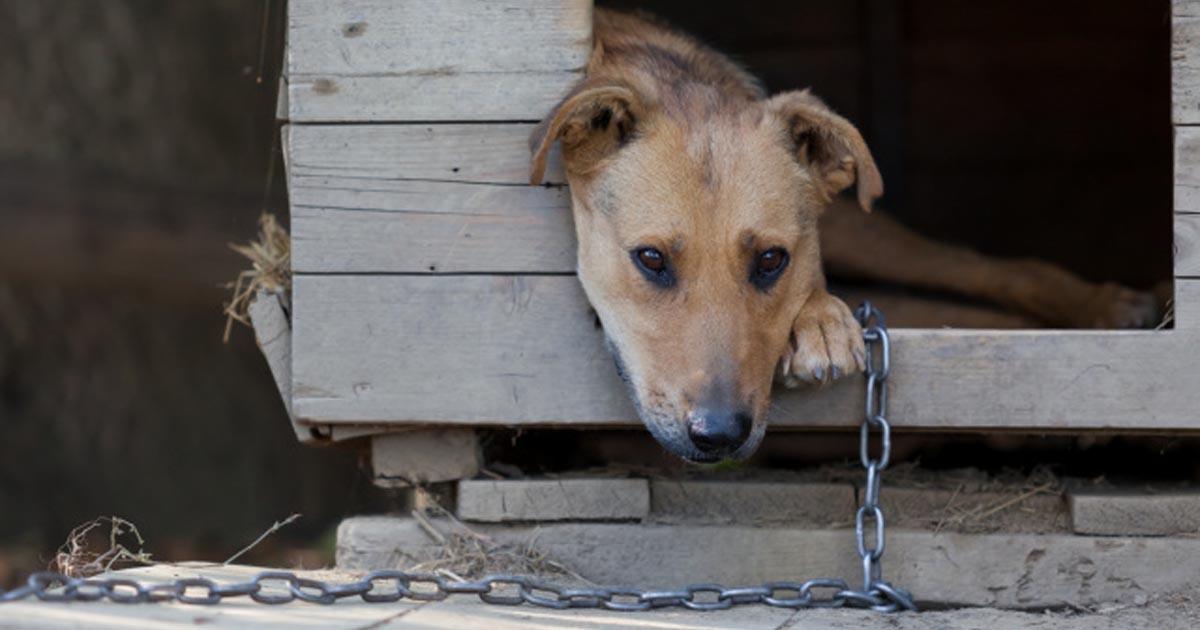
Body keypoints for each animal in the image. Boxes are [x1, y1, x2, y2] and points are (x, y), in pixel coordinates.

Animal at [528, 8, 1161, 460]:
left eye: (772, 259)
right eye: (651, 259)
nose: (720, 435)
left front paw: (820, 320)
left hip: (868, 229)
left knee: (987, 272)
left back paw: (1111, 311)